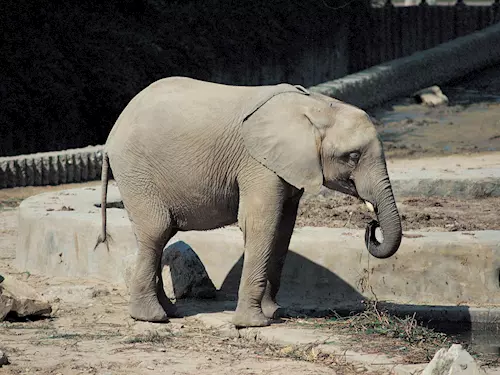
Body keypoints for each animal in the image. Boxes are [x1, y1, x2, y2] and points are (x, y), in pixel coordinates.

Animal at [96, 77, 402, 328]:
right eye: (353, 156)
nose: (371, 225)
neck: (316, 106)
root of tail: (111, 136)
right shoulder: (258, 164)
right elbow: (261, 223)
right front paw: (254, 323)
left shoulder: (286, 167)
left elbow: (283, 228)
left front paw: (273, 312)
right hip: (136, 172)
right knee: (157, 231)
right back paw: (152, 318)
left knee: (160, 234)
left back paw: (169, 312)